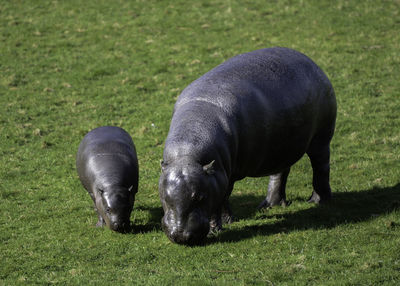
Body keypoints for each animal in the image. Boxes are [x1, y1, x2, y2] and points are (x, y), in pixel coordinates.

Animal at [158, 45, 336, 245]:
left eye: (200, 197)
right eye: (164, 196)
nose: (181, 236)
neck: (187, 156)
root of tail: (311, 62)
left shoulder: (224, 175)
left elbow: (221, 200)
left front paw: (218, 227)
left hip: (321, 138)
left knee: (321, 166)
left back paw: (318, 201)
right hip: (282, 147)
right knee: (281, 172)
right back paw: (269, 206)